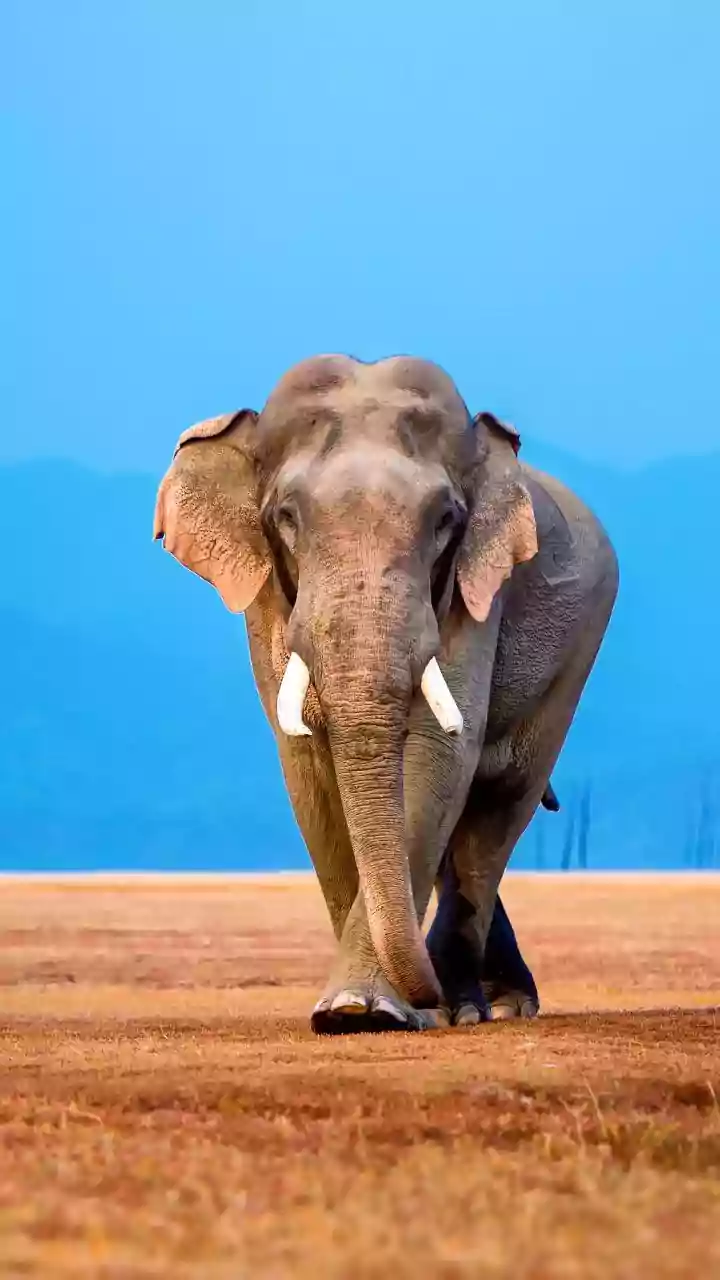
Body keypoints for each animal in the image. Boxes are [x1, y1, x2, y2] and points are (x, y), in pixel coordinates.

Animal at [153, 355, 618, 1033]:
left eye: (446, 520)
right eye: (286, 517)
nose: (425, 1001)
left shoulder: (476, 590)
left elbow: (437, 754)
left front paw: (370, 1009)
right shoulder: (268, 598)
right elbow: (308, 767)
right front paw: (350, 1010)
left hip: (580, 646)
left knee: (499, 806)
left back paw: (481, 1007)